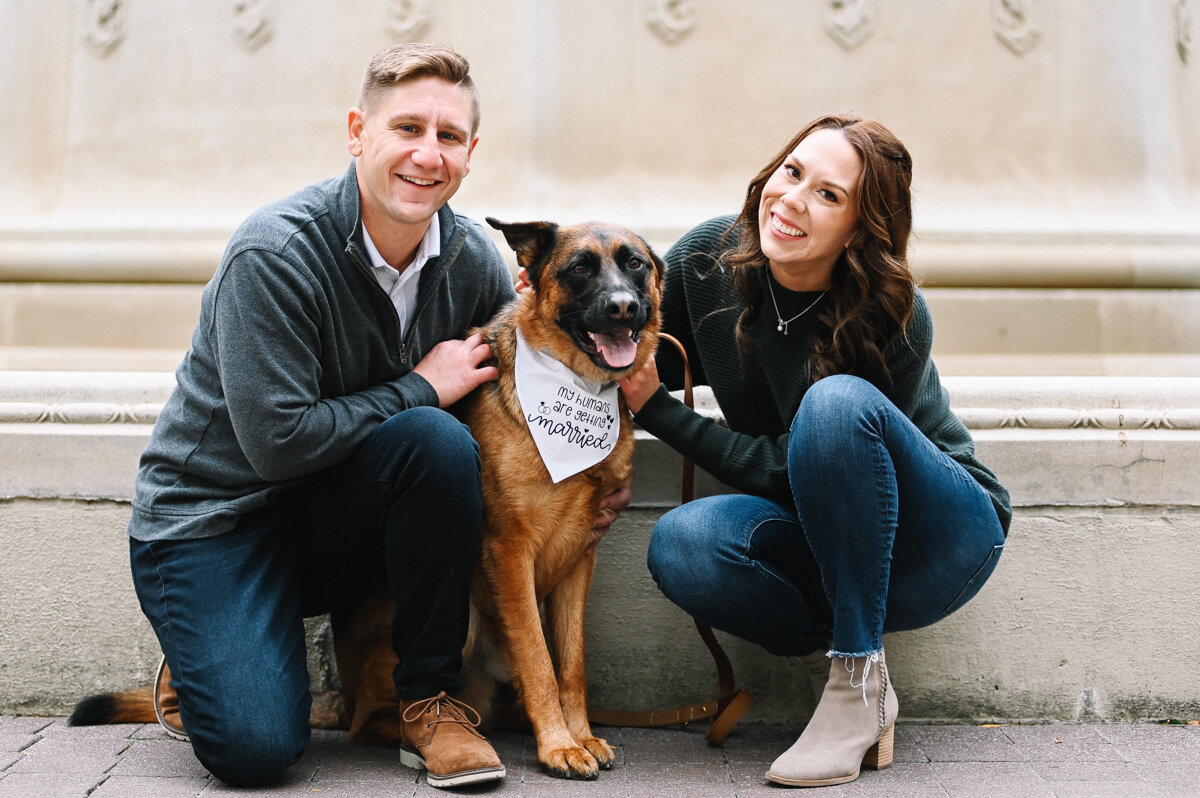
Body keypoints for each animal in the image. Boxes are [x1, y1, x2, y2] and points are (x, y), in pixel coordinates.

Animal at [69, 218, 662, 777]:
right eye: (580, 269)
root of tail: (343, 693)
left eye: (634, 265)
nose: (624, 307)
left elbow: (571, 664)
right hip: (463, 617)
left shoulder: (579, 558)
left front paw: (578, 734)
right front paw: (558, 745)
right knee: (373, 720)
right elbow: (539, 658)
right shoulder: (509, 551)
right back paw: (445, 731)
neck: (574, 390)